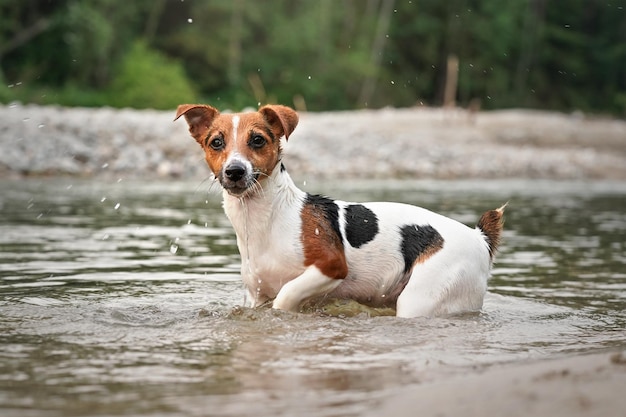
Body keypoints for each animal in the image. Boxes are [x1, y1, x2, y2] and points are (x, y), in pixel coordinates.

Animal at [173, 103, 504, 316]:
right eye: (216, 143)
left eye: (257, 140)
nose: (235, 171)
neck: (268, 218)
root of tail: (479, 237)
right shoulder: (256, 295)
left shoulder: (330, 267)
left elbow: (285, 297)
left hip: (420, 300)